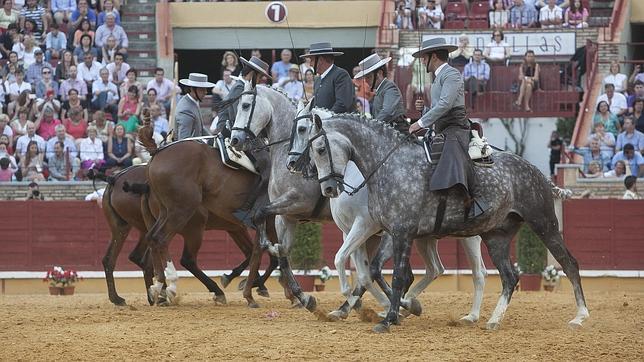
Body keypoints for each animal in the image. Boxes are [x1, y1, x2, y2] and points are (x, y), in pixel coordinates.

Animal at [95, 165, 272, 306]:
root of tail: (116, 178)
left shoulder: (235, 229)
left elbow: (253, 253)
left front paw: (252, 284)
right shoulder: (240, 228)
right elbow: (264, 255)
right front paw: (250, 284)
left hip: (124, 228)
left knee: (117, 259)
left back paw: (127, 298)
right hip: (191, 228)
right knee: (182, 259)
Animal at [300, 114, 588, 332]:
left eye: (320, 149)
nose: (328, 188)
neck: (389, 166)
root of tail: (537, 171)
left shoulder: (398, 232)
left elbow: (394, 275)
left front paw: (390, 317)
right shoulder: (385, 232)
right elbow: (368, 269)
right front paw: (394, 308)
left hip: (544, 224)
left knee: (569, 263)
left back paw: (580, 316)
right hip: (496, 236)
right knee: (508, 277)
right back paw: (492, 320)